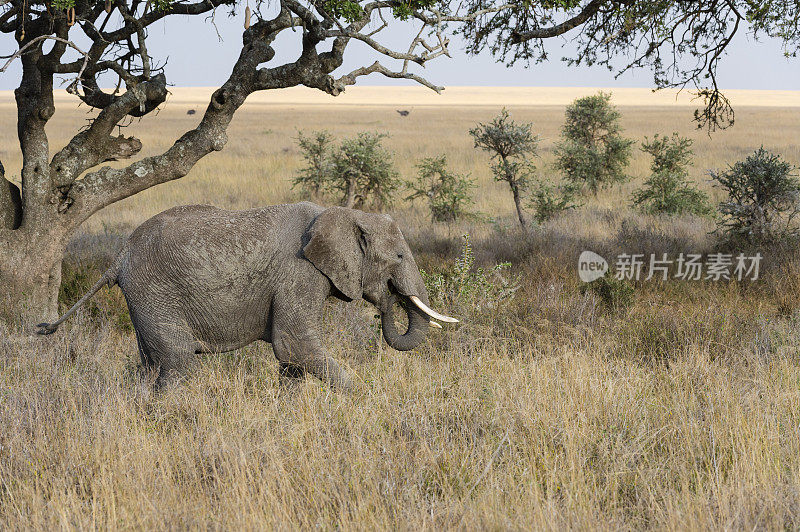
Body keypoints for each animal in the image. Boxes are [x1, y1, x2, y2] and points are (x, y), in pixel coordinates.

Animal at [37, 202, 456, 388]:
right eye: (398, 256)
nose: (388, 299)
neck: (341, 212)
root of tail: (120, 256)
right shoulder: (298, 275)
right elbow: (294, 345)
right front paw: (364, 397)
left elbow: (292, 359)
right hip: (155, 293)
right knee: (176, 361)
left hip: (143, 300)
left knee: (151, 364)